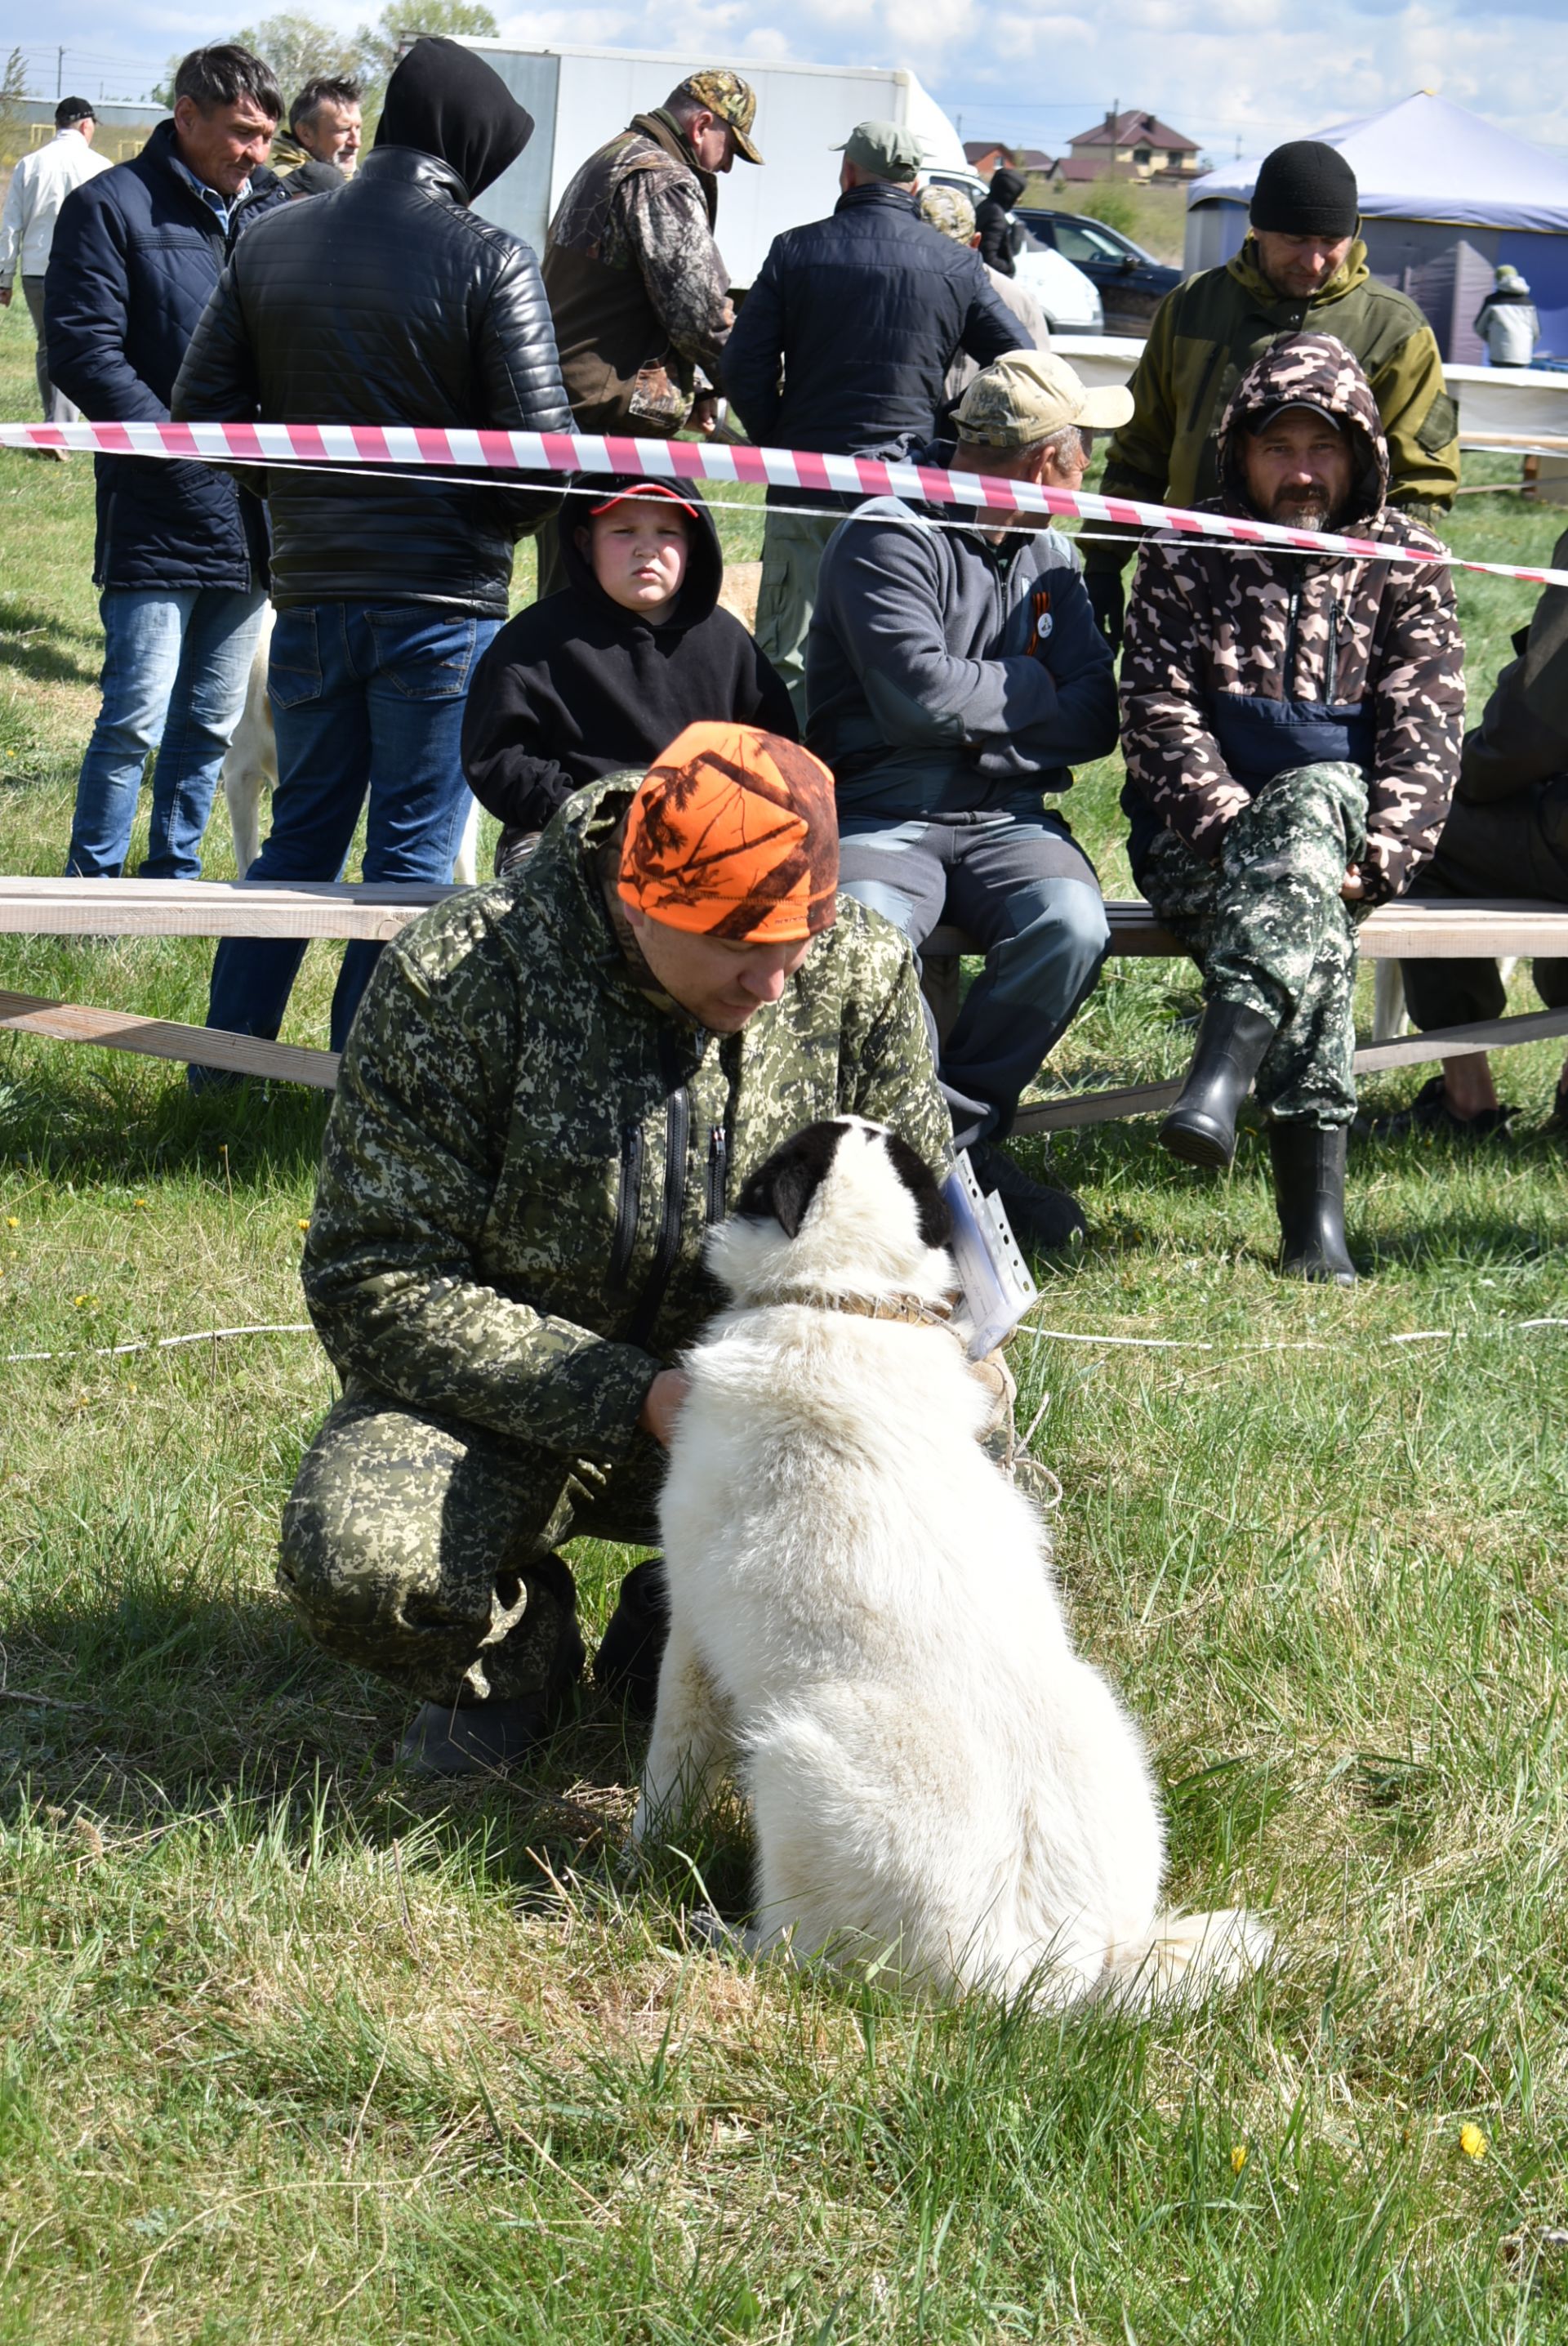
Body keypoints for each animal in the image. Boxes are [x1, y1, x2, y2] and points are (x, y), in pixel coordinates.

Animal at [628, 1121, 1265, 2017]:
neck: (842, 1299)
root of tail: (1049, 1976)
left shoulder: (690, 1635)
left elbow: (669, 1766)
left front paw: (638, 1853)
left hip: (792, 1763)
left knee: (802, 1953)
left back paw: (719, 1934)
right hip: (1103, 1717)